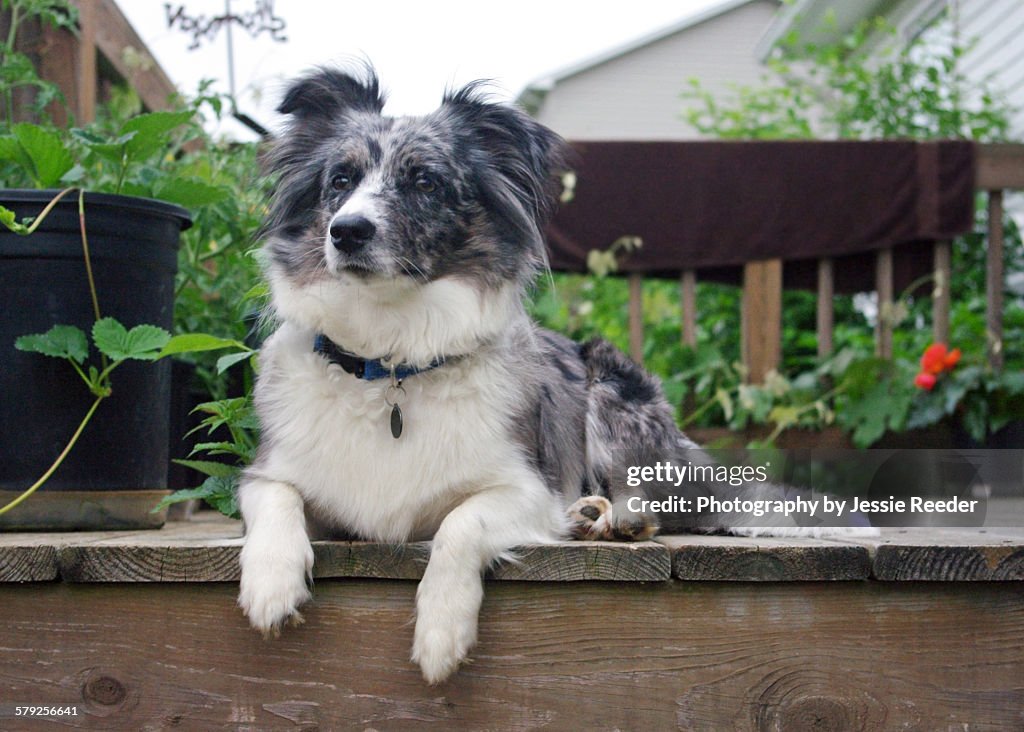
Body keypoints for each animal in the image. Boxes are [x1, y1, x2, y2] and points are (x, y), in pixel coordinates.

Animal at [239, 66, 856, 683]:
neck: (391, 361)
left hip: (612, 392)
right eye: (340, 180)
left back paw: (611, 519)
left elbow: (460, 523)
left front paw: (442, 629)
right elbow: (272, 498)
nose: (348, 231)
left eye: (426, 183)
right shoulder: (271, 473)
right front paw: (269, 584)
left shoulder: (527, 489)